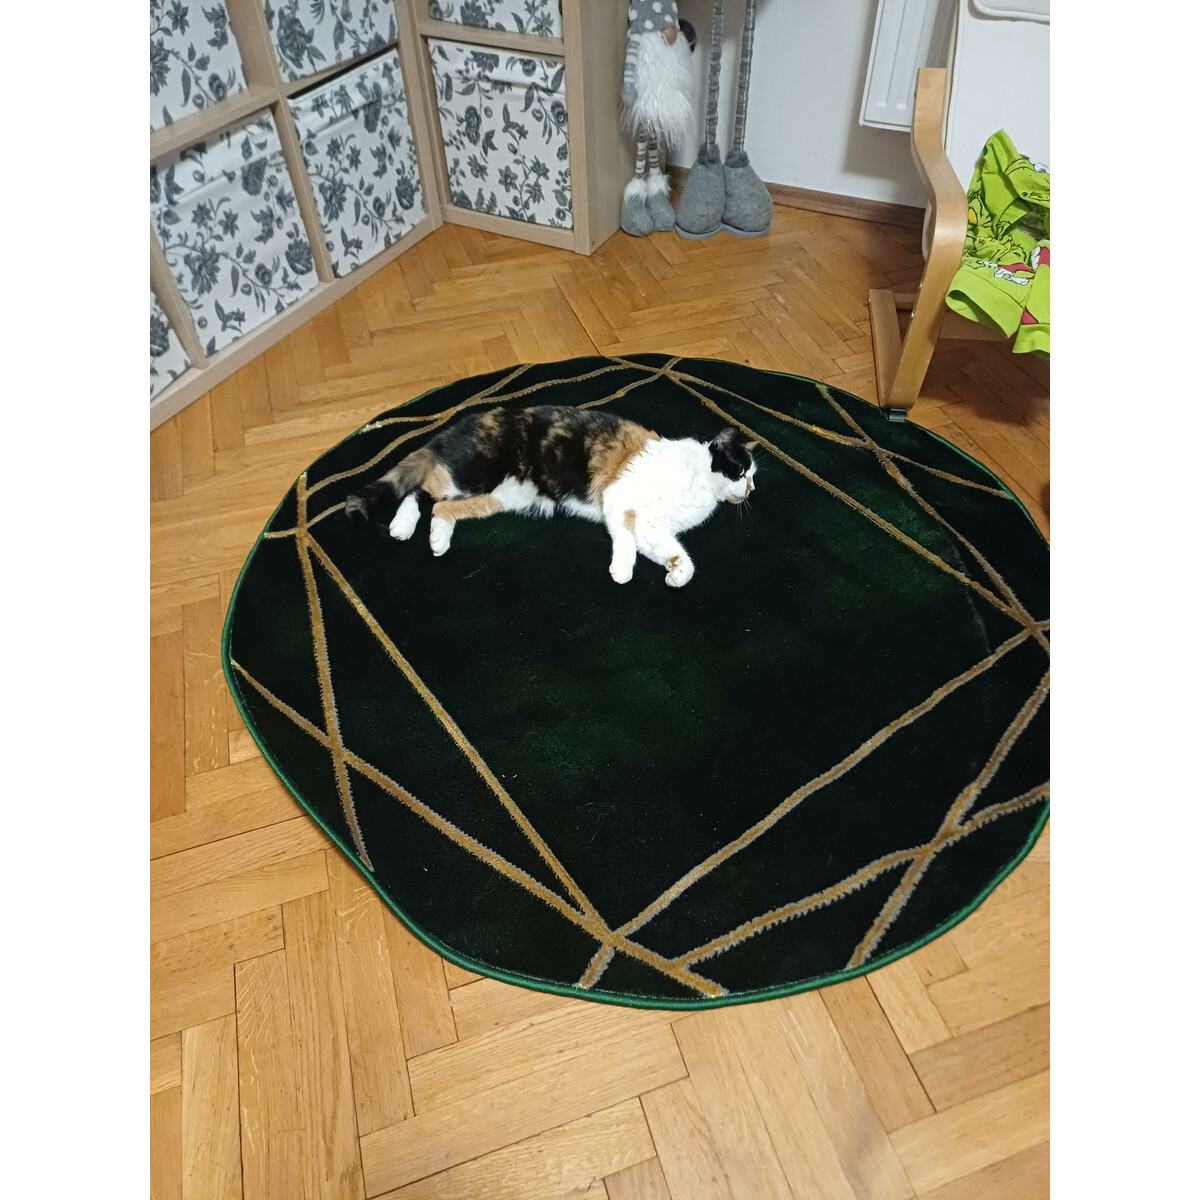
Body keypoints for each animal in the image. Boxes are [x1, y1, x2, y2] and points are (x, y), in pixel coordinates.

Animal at [345, 405, 757, 588]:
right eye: (742, 470)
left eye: (752, 477)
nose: (751, 489)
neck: (699, 483)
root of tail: (465, 422)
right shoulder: (618, 499)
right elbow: (624, 540)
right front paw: (622, 571)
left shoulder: (652, 526)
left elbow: (670, 551)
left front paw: (676, 572)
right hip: (473, 475)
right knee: (421, 488)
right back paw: (401, 526)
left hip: (496, 497)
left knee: (443, 508)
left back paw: (437, 541)